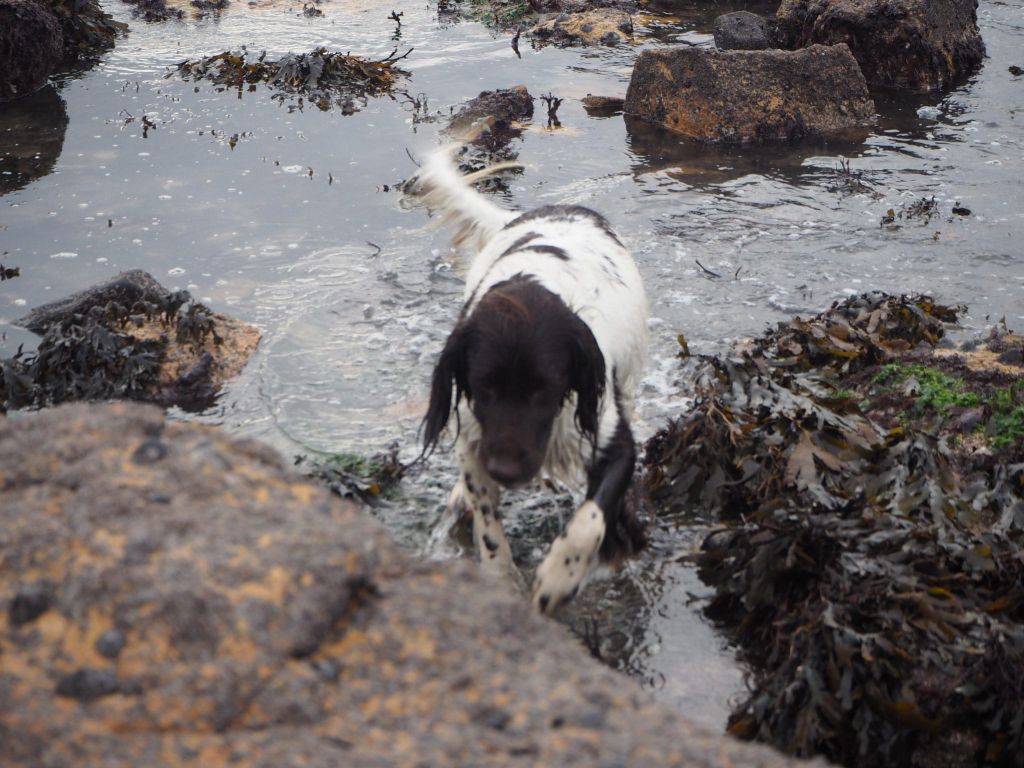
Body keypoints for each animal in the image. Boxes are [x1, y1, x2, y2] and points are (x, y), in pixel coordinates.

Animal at [409, 147, 643, 618]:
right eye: (483, 386)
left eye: (544, 388)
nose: (507, 470)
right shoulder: (476, 438)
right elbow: (487, 524)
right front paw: (499, 579)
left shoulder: (610, 435)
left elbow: (590, 520)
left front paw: (557, 579)